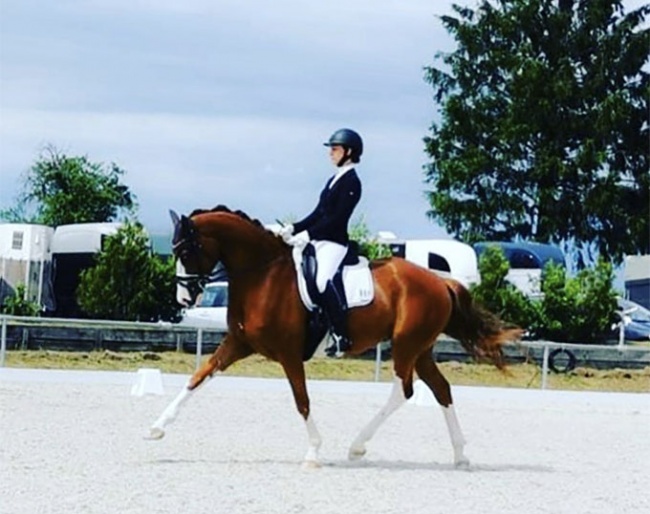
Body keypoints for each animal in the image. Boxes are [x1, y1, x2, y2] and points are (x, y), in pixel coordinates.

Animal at [148, 203, 520, 464]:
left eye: (185, 251)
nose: (184, 299)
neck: (262, 275)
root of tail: (441, 282)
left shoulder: (288, 353)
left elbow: (301, 400)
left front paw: (314, 451)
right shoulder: (238, 343)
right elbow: (198, 378)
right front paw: (157, 428)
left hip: (406, 345)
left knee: (403, 391)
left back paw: (357, 446)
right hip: (421, 348)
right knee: (441, 389)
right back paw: (460, 455)